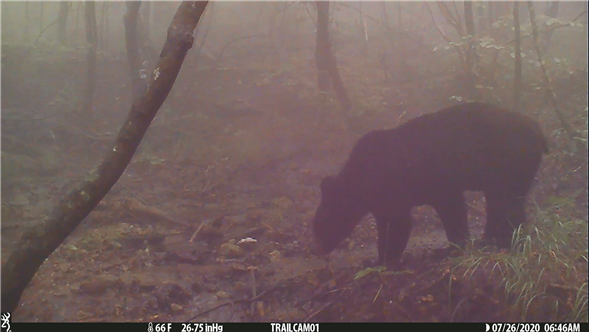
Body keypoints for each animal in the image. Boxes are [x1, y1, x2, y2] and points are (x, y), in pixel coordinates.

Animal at [312, 102, 548, 264]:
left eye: (319, 223)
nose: (318, 249)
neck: (362, 182)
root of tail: (538, 130)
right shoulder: (386, 199)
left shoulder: (401, 184)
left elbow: (402, 222)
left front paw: (385, 259)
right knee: (503, 201)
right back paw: (493, 238)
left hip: (507, 162)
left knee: (505, 201)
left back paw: (506, 240)